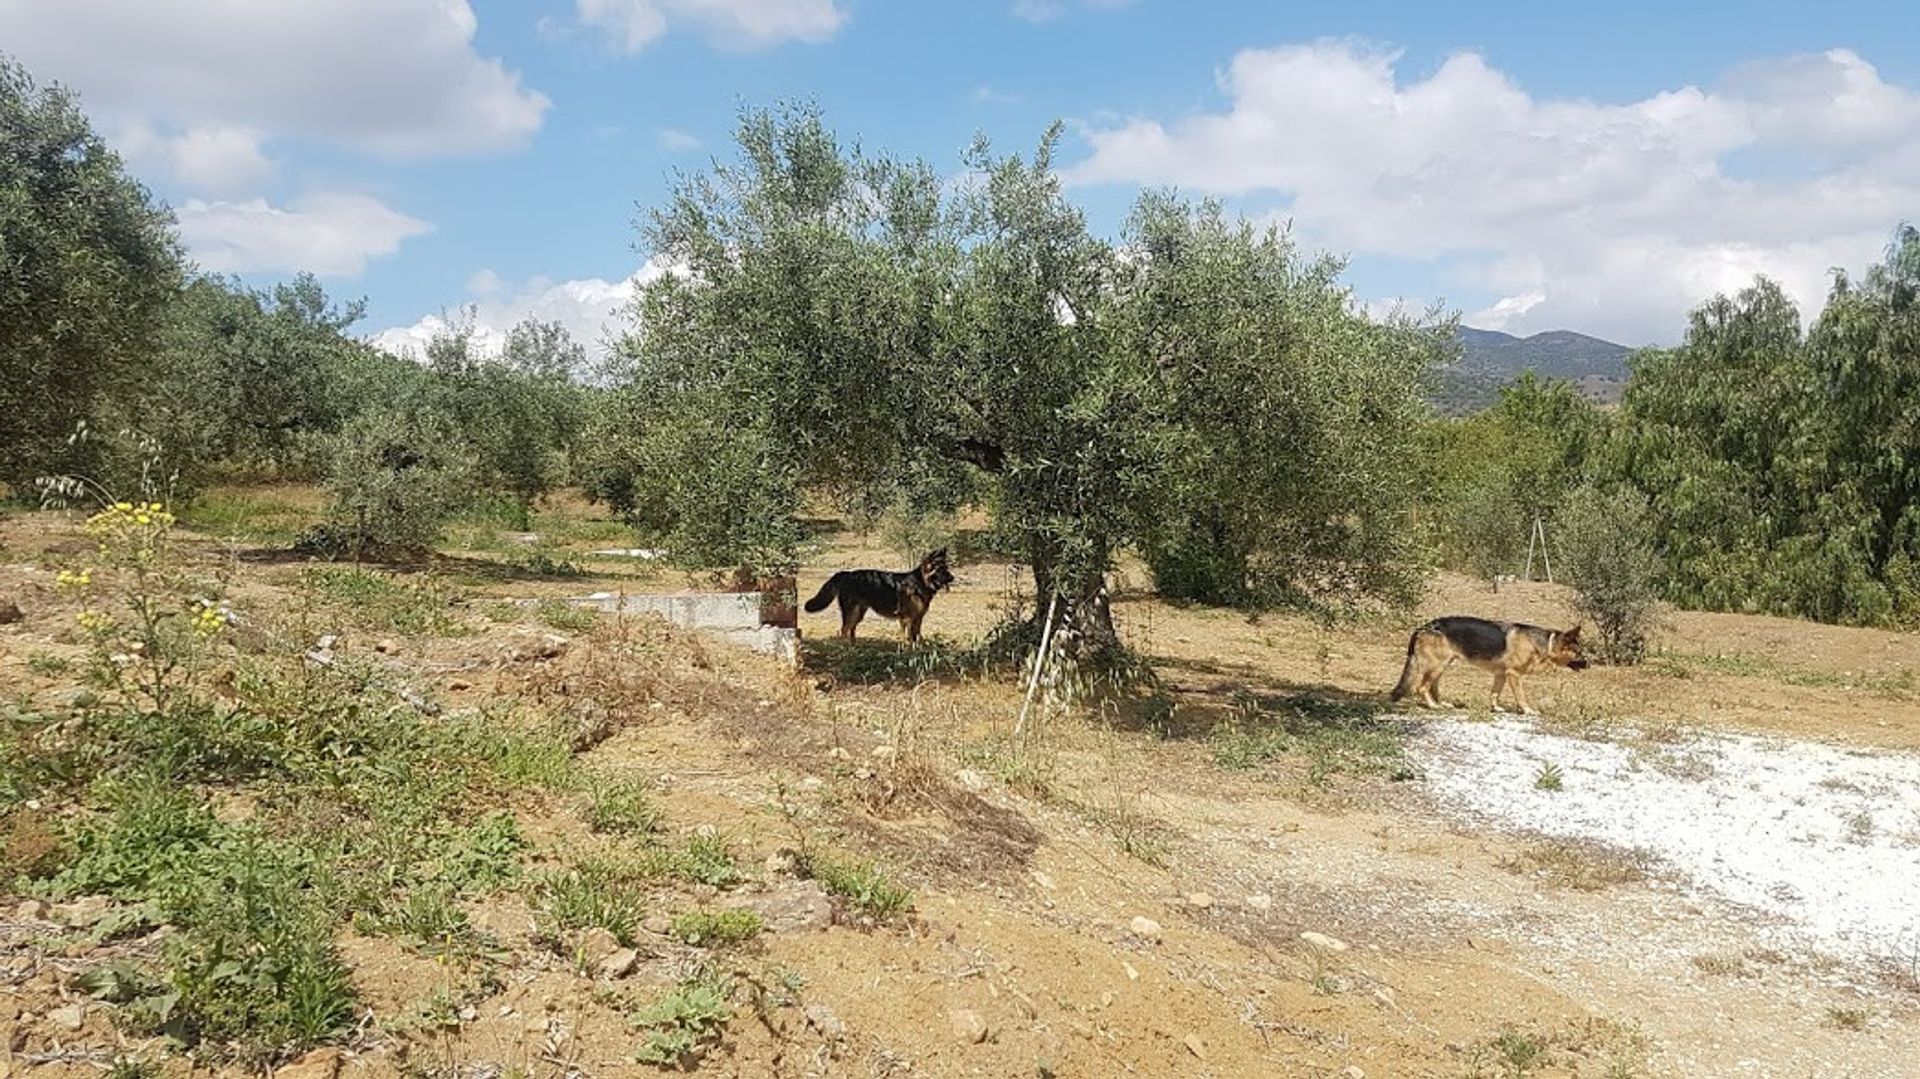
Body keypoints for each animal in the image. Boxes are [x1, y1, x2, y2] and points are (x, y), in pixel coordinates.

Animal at [802, 545, 952, 637]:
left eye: (946, 568)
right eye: (940, 569)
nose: (953, 578)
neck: (920, 582)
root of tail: (847, 574)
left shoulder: (918, 619)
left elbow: (917, 639)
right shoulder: (908, 620)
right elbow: (909, 639)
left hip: (858, 613)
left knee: (851, 629)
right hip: (852, 612)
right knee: (843, 630)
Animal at [1397, 614, 1589, 714]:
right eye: (1579, 653)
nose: (1589, 665)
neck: (1546, 643)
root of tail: (1424, 626)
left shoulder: (1501, 674)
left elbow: (1494, 693)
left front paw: (1495, 708)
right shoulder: (1514, 674)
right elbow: (1521, 696)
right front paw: (1527, 710)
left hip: (1442, 665)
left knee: (1432, 687)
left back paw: (1442, 703)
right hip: (1437, 666)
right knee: (1421, 687)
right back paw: (1433, 706)